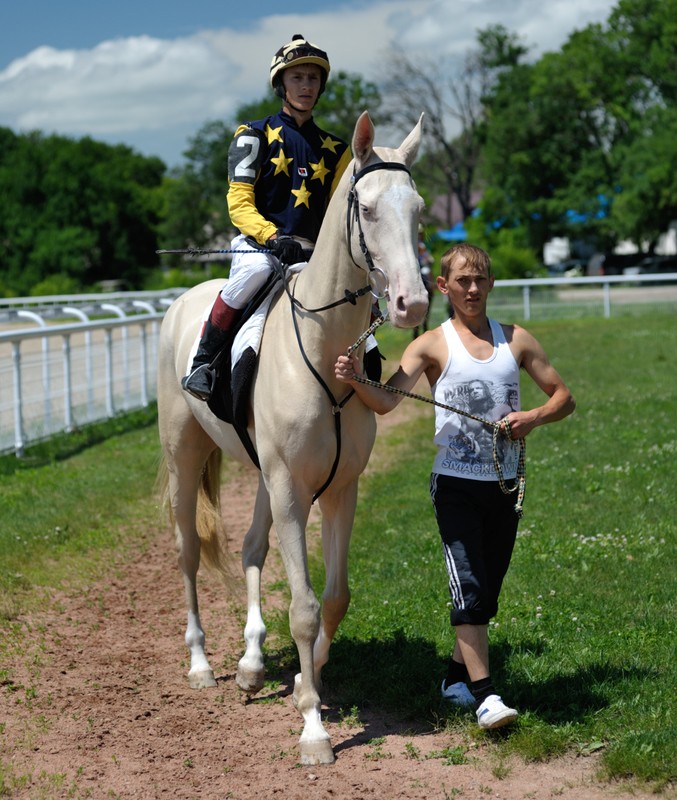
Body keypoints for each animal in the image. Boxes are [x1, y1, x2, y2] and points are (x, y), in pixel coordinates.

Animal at [156, 109, 426, 764]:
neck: (326, 353)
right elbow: (302, 608)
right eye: (368, 209)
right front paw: (313, 729)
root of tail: (181, 304)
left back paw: (251, 664)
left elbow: (334, 597)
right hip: (185, 458)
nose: (412, 303)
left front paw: (308, 678)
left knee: (252, 549)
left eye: (418, 209)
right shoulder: (289, 491)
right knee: (187, 552)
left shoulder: (338, 489)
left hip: (263, 477)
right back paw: (201, 663)